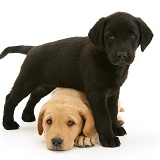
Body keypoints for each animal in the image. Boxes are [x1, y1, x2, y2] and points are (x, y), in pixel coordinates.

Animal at [0, 12, 152, 148]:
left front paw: (115, 128)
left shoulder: (114, 92)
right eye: (110, 36)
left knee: (34, 95)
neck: (107, 62)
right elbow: (104, 116)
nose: (122, 55)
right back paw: (8, 123)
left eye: (132, 36)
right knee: (10, 98)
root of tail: (33, 48)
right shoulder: (97, 93)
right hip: (27, 80)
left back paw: (27, 115)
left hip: (46, 84)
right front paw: (109, 138)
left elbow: (113, 111)